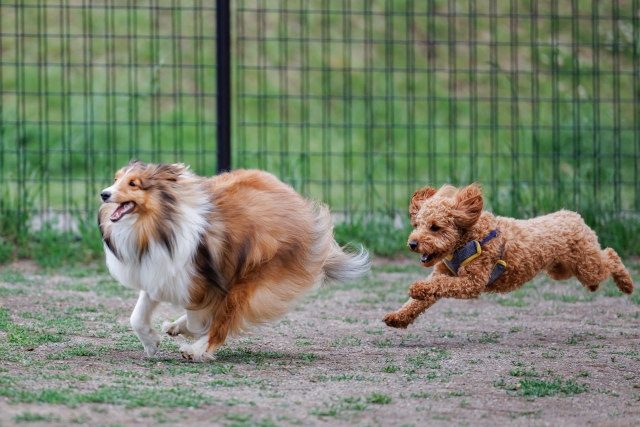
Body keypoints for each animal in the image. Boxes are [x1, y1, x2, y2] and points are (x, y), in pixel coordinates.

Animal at [382, 182, 632, 330]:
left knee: (610, 256)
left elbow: (439, 286)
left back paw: (627, 284)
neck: (470, 238)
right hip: (561, 269)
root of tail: (573, 215)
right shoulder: (443, 274)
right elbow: (419, 301)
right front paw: (397, 317)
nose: (412, 244)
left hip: (586, 265)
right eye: (417, 225)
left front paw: (416, 288)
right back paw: (597, 287)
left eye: (435, 227)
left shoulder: (472, 282)